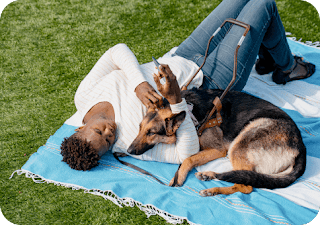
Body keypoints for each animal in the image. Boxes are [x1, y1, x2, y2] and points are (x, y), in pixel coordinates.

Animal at [126, 89, 306, 196]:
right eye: (140, 128)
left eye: (151, 133)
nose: (128, 151)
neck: (190, 112)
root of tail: (301, 147)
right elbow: (187, 159)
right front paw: (176, 176)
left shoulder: (218, 150)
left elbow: (188, 159)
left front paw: (180, 176)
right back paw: (209, 176)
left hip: (239, 145)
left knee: (246, 186)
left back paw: (212, 187)